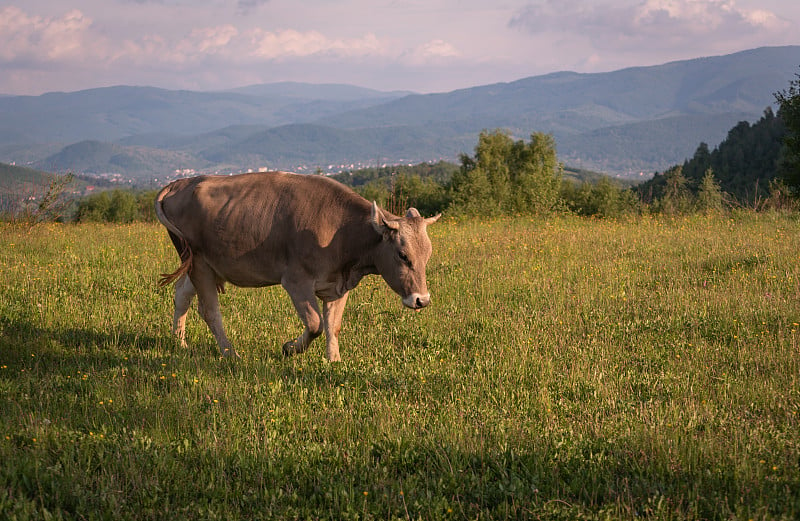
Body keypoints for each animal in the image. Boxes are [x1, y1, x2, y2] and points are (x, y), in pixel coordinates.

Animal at [153, 171, 440, 362]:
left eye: (428, 255)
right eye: (403, 255)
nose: (422, 300)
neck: (341, 231)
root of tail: (181, 182)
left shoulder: (337, 286)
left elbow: (333, 325)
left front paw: (334, 361)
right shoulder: (296, 281)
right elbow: (315, 324)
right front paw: (290, 348)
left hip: (200, 264)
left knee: (182, 295)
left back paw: (180, 343)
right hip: (199, 262)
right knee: (210, 310)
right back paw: (229, 352)